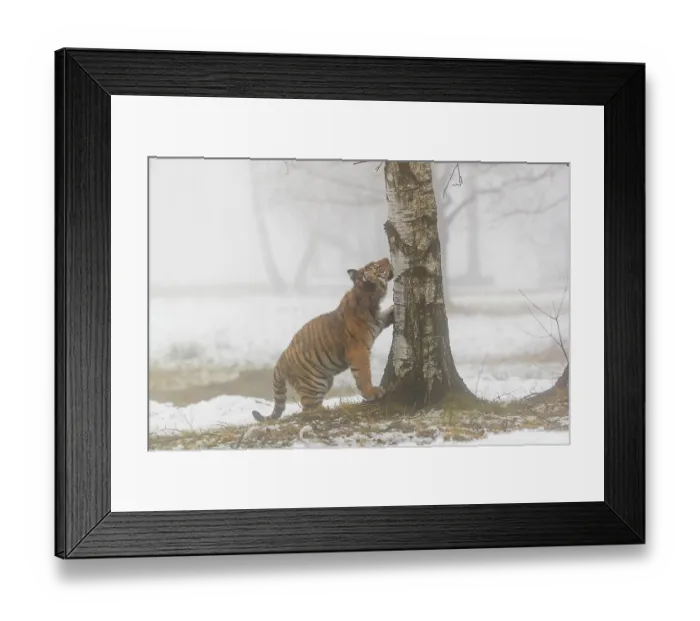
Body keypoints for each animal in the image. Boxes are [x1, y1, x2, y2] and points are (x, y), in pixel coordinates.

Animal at [252, 258, 395, 423]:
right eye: (377, 266)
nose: (387, 258)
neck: (367, 296)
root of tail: (281, 360)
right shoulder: (358, 349)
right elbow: (364, 373)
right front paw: (372, 392)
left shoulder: (378, 321)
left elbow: (386, 315)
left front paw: (394, 310)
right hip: (313, 385)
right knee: (308, 409)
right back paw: (325, 412)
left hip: (324, 381)